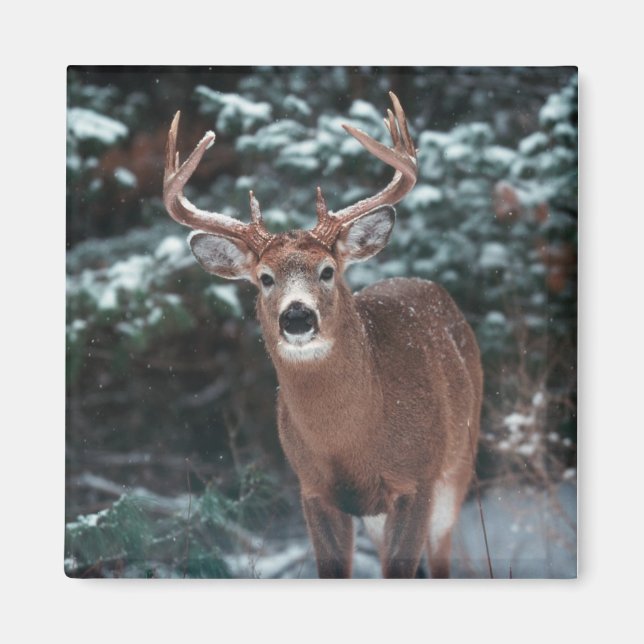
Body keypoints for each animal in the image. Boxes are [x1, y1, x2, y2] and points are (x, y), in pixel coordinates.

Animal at [163, 92, 483, 578]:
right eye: (265, 278)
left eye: (327, 270)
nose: (297, 317)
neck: (350, 442)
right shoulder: (312, 489)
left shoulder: (418, 480)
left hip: (460, 462)